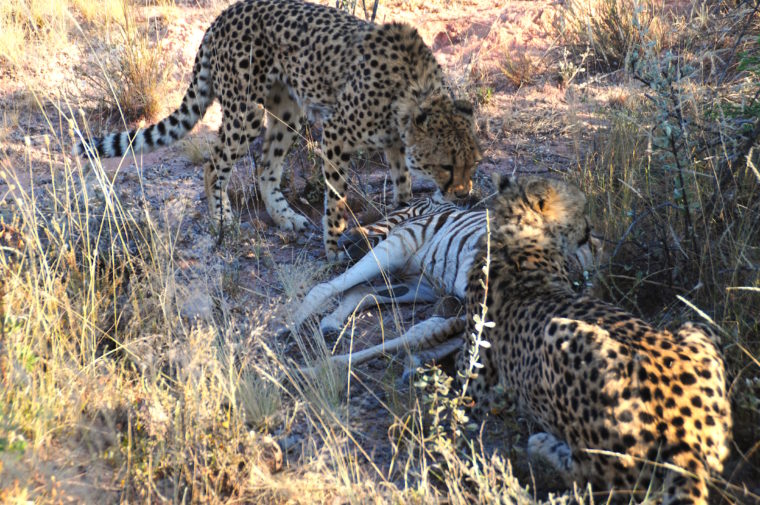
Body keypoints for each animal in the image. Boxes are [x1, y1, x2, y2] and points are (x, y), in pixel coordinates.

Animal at [77, 0, 480, 258]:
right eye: (446, 165)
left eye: (473, 164)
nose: (464, 196)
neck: (414, 92)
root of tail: (224, 14)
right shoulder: (337, 133)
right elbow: (336, 198)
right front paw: (333, 248)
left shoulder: (395, 143)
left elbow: (403, 184)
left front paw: (401, 214)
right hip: (247, 111)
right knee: (213, 165)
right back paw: (223, 221)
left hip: (288, 111)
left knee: (267, 168)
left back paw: (285, 217)